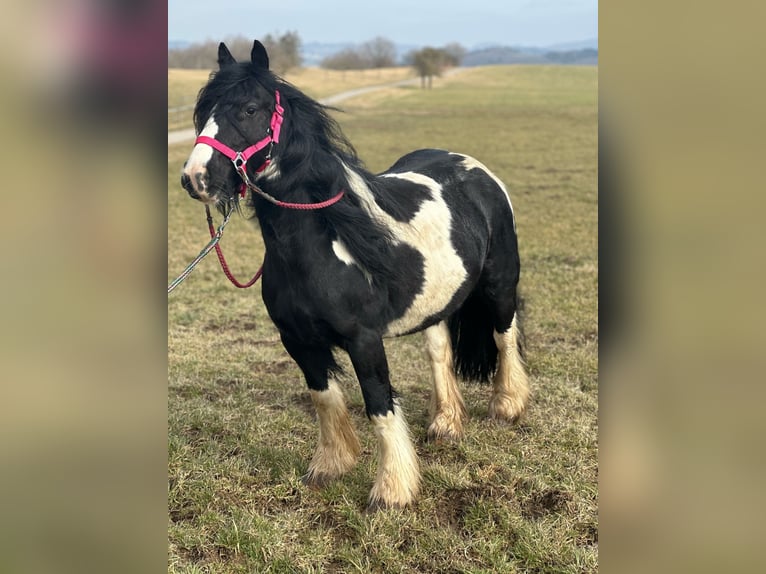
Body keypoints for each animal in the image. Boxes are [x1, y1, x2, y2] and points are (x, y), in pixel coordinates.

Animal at [182, 38, 528, 510]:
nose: (195, 178)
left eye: (250, 109)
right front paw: (331, 466)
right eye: (202, 112)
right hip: (437, 301)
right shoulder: (298, 340)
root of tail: (474, 168)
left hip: (498, 285)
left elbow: (379, 404)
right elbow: (325, 398)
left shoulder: (364, 340)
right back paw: (445, 424)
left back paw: (508, 405)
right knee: (440, 352)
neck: (320, 243)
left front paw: (392, 491)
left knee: (504, 336)